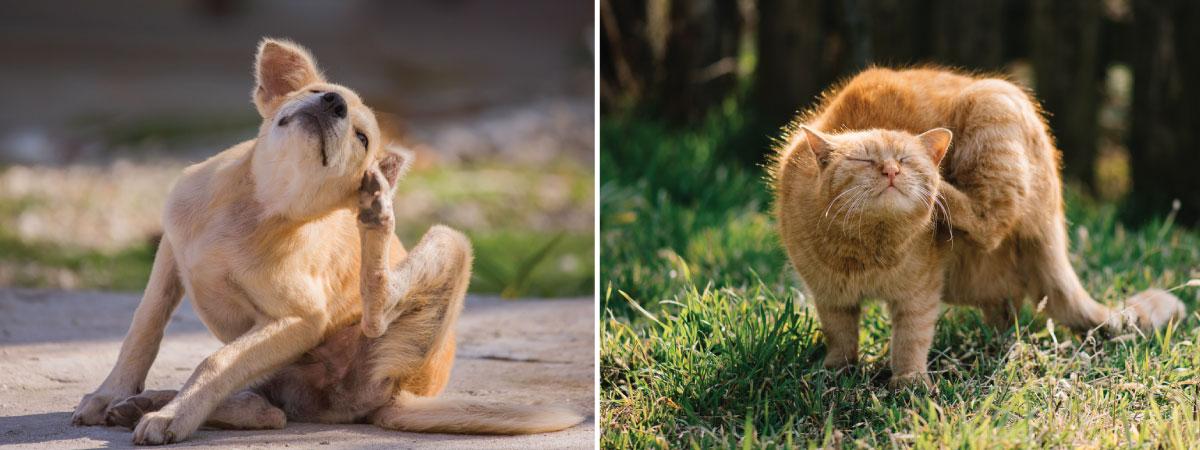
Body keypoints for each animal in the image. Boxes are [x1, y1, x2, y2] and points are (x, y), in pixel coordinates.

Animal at [70, 40, 585, 446]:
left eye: (361, 137)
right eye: (316, 93)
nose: (333, 102)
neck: (258, 205)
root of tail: (401, 395)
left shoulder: (300, 319)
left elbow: (216, 362)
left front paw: (174, 417)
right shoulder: (170, 255)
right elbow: (144, 329)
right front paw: (111, 393)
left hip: (447, 248)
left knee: (324, 359)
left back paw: (377, 217)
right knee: (267, 408)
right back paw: (144, 403)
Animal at [772, 66, 1185, 388]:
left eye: (906, 160)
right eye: (863, 160)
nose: (891, 171)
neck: (869, 251)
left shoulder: (920, 296)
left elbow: (910, 341)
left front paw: (908, 383)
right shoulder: (831, 297)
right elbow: (841, 339)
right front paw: (834, 373)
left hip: (994, 107)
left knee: (989, 223)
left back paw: (943, 191)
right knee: (1008, 307)